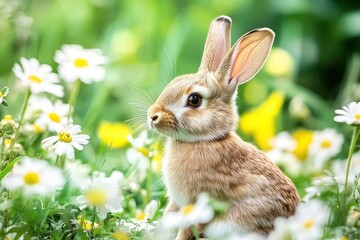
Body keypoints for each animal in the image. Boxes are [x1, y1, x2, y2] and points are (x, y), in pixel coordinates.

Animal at [147, 15, 300, 239]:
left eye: (194, 100)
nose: (152, 116)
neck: (205, 140)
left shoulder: (200, 204)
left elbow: (186, 230)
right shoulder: (178, 203)